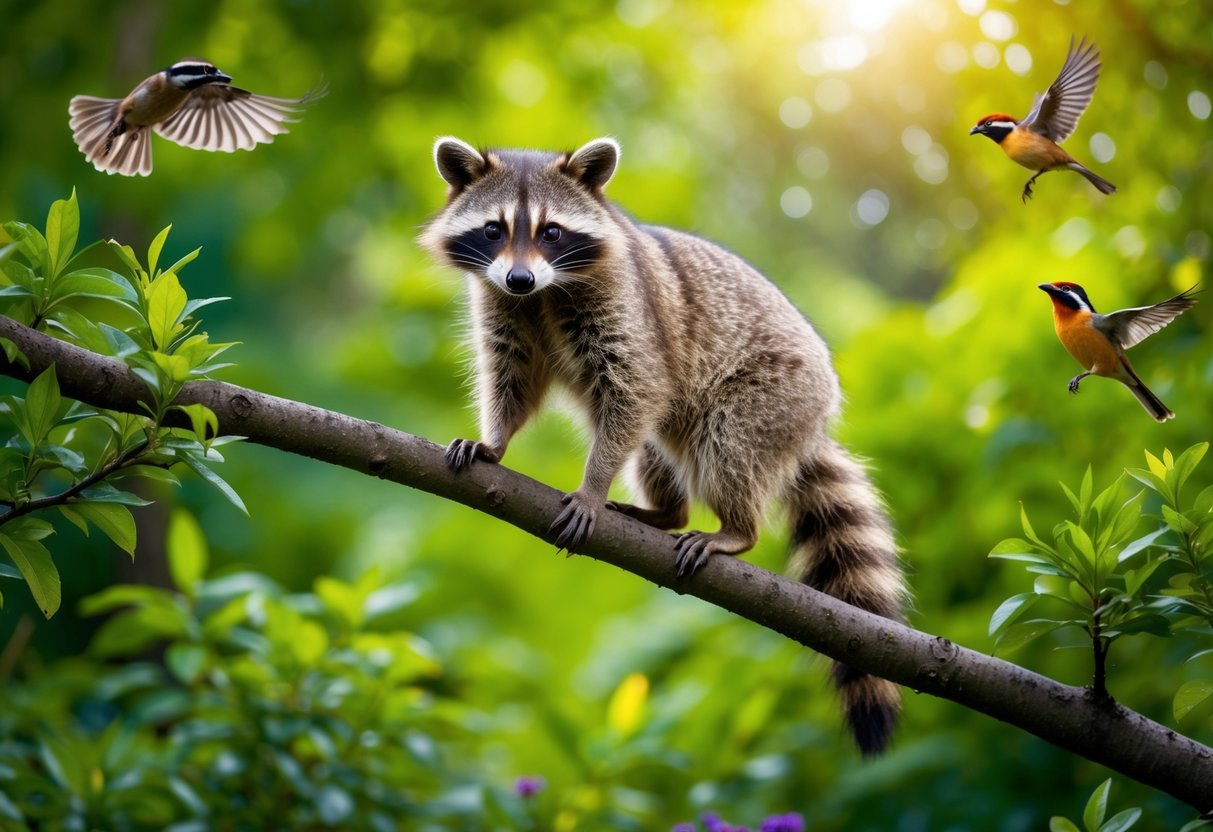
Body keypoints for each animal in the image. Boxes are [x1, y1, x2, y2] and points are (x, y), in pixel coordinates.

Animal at [420, 137, 907, 754]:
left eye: (552, 231)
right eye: (492, 229)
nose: (521, 279)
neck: (545, 293)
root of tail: (812, 425)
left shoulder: (626, 308)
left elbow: (638, 388)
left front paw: (592, 484)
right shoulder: (502, 303)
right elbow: (515, 380)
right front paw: (495, 441)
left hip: (772, 395)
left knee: (725, 447)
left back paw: (736, 528)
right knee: (652, 448)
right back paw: (665, 511)